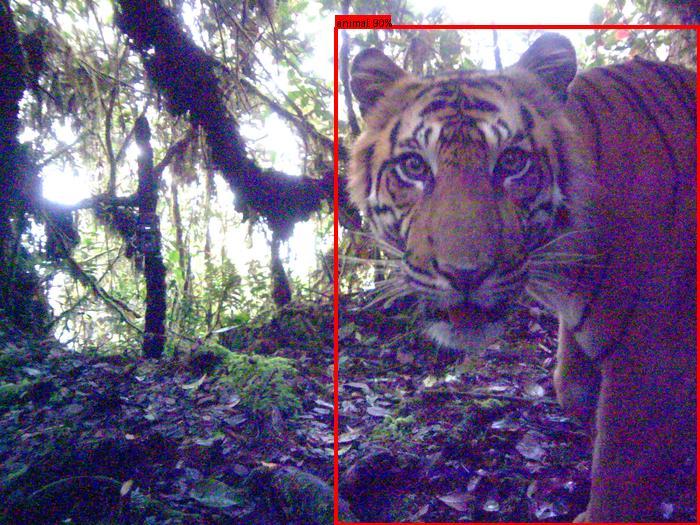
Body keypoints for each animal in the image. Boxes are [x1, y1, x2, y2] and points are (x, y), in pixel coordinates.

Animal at [347, 33, 696, 522]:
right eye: (414, 167)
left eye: (512, 162)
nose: (465, 273)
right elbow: (570, 386)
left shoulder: (649, 358)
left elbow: (619, 467)